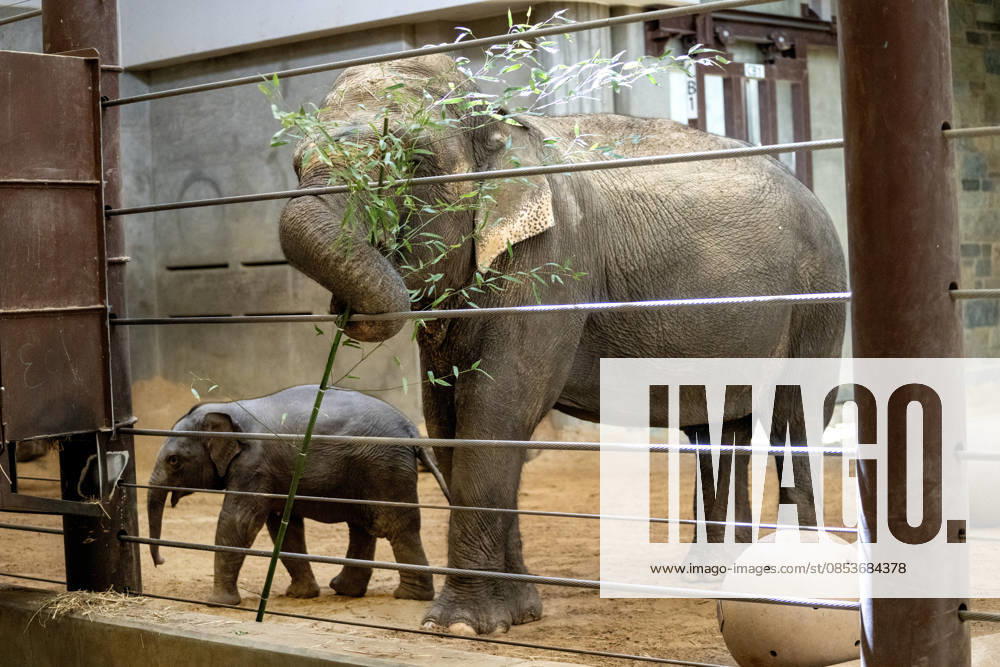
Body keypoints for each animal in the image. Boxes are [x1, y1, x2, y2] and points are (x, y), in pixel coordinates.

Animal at [147, 384, 449, 606]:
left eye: (173, 461)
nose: (161, 562)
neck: (231, 409)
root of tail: (411, 430)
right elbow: (284, 525)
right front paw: (301, 595)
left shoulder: (253, 465)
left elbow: (239, 523)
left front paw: (218, 603)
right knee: (363, 526)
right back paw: (345, 590)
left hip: (384, 467)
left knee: (395, 526)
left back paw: (410, 596)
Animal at [276, 55, 847, 635]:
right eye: (296, 166)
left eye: (413, 162)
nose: (346, 312)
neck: (500, 126)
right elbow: (447, 421)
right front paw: (519, 615)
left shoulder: (551, 260)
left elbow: (498, 409)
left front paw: (459, 624)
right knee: (718, 430)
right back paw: (709, 578)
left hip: (818, 297)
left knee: (794, 420)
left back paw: (796, 581)